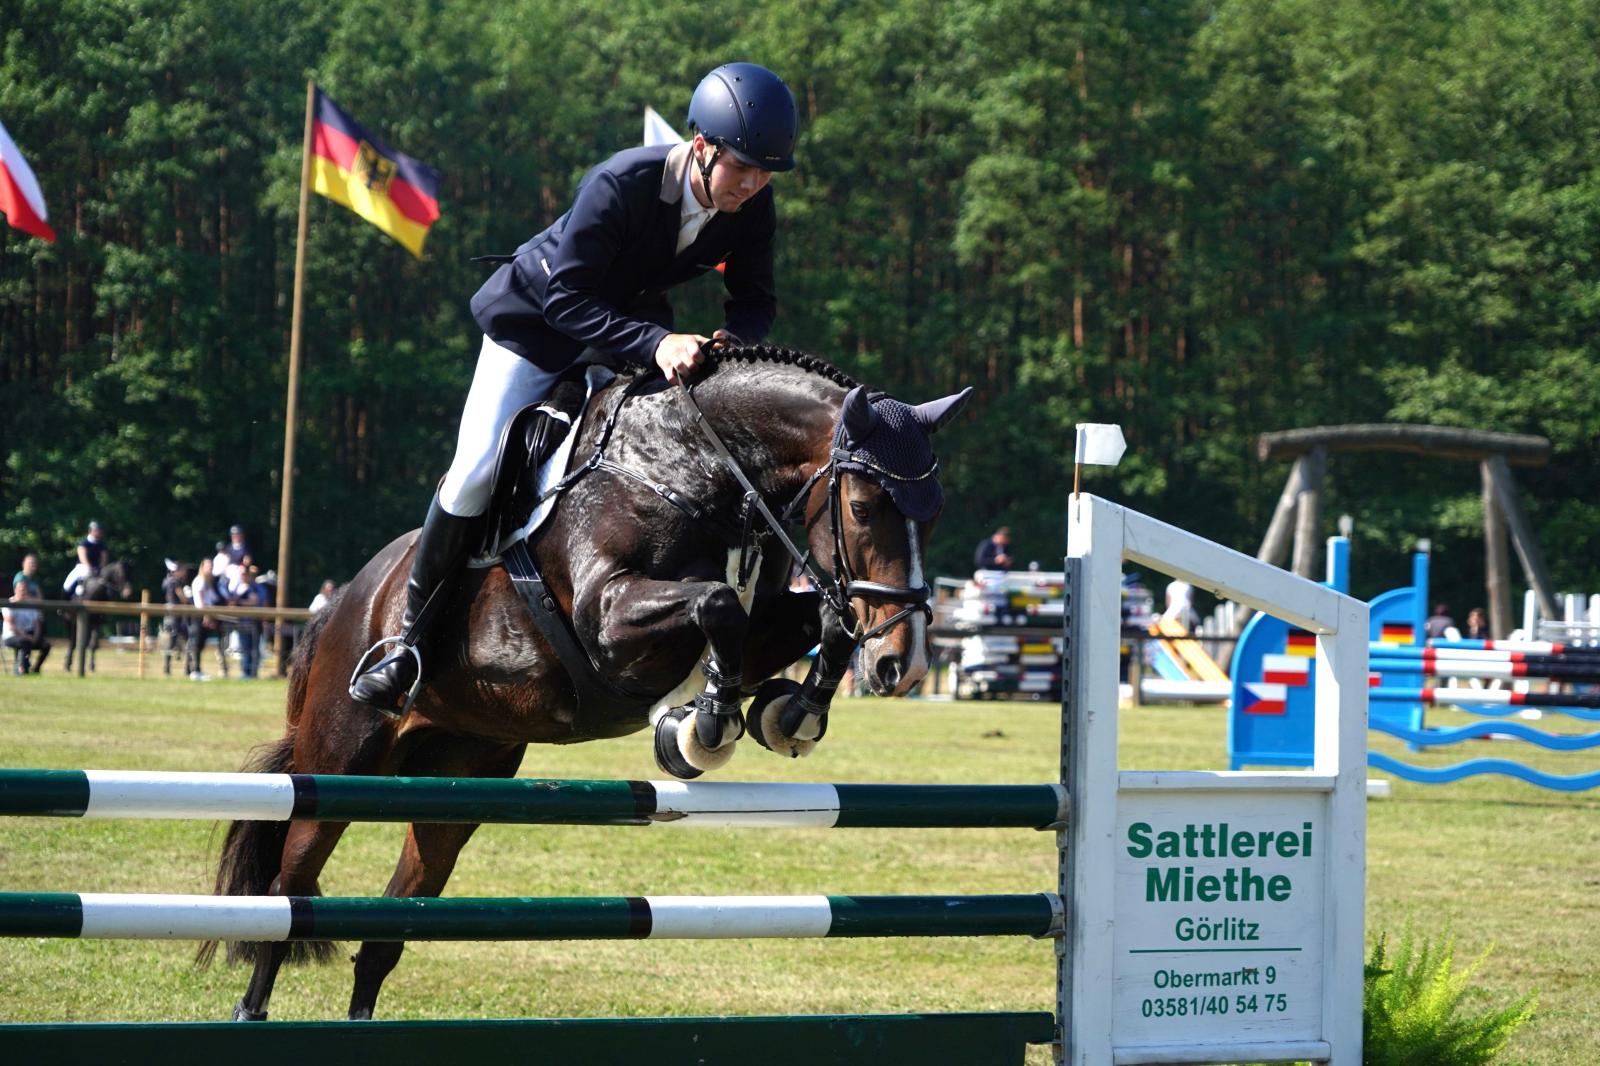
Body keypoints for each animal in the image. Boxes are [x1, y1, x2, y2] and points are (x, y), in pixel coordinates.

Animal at [199, 345, 971, 1022]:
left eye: (935, 513)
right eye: (865, 508)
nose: (904, 665)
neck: (688, 468)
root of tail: (338, 610)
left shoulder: (759, 626)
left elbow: (814, 620)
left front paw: (793, 711)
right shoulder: (610, 622)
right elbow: (718, 604)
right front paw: (701, 728)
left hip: (457, 780)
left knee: (394, 918)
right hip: (341, 760)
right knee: (290, 892)